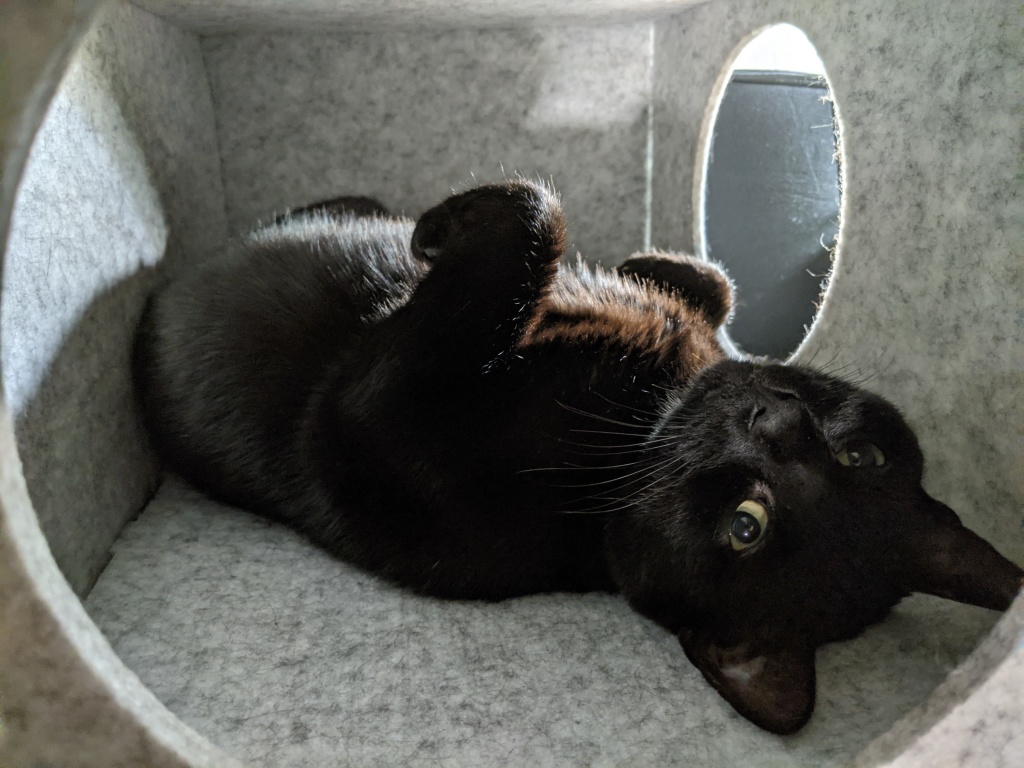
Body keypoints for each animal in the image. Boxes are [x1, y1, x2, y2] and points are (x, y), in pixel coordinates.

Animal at [136, 179, 1024, 733]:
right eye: (861, 455)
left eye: (749, 527)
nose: (773, 416)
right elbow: (710, 279)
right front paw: (646, 268)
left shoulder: (357, 419)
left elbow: (532, 222)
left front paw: (441, 229)